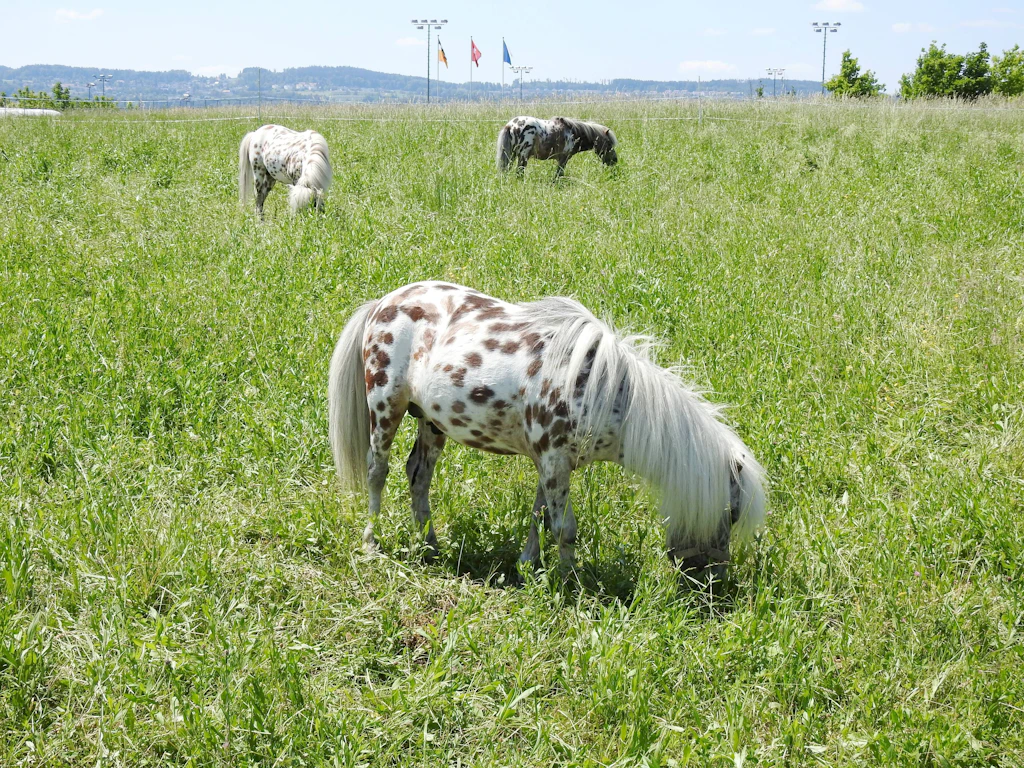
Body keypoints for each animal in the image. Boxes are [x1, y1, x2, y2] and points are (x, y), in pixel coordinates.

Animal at [328, 281, 767, 585]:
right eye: (731, 514)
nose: (712, 582)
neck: (604, 390)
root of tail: (383, 303)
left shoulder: (553, 463)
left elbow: (539, 515)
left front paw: (529, 567)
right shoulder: (555, 463)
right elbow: (565, 528)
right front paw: (570, 582)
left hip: (432, 422)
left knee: (418, 476)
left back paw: (431, 547)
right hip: (385, 408)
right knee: (378, 472)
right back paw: (371, 543)